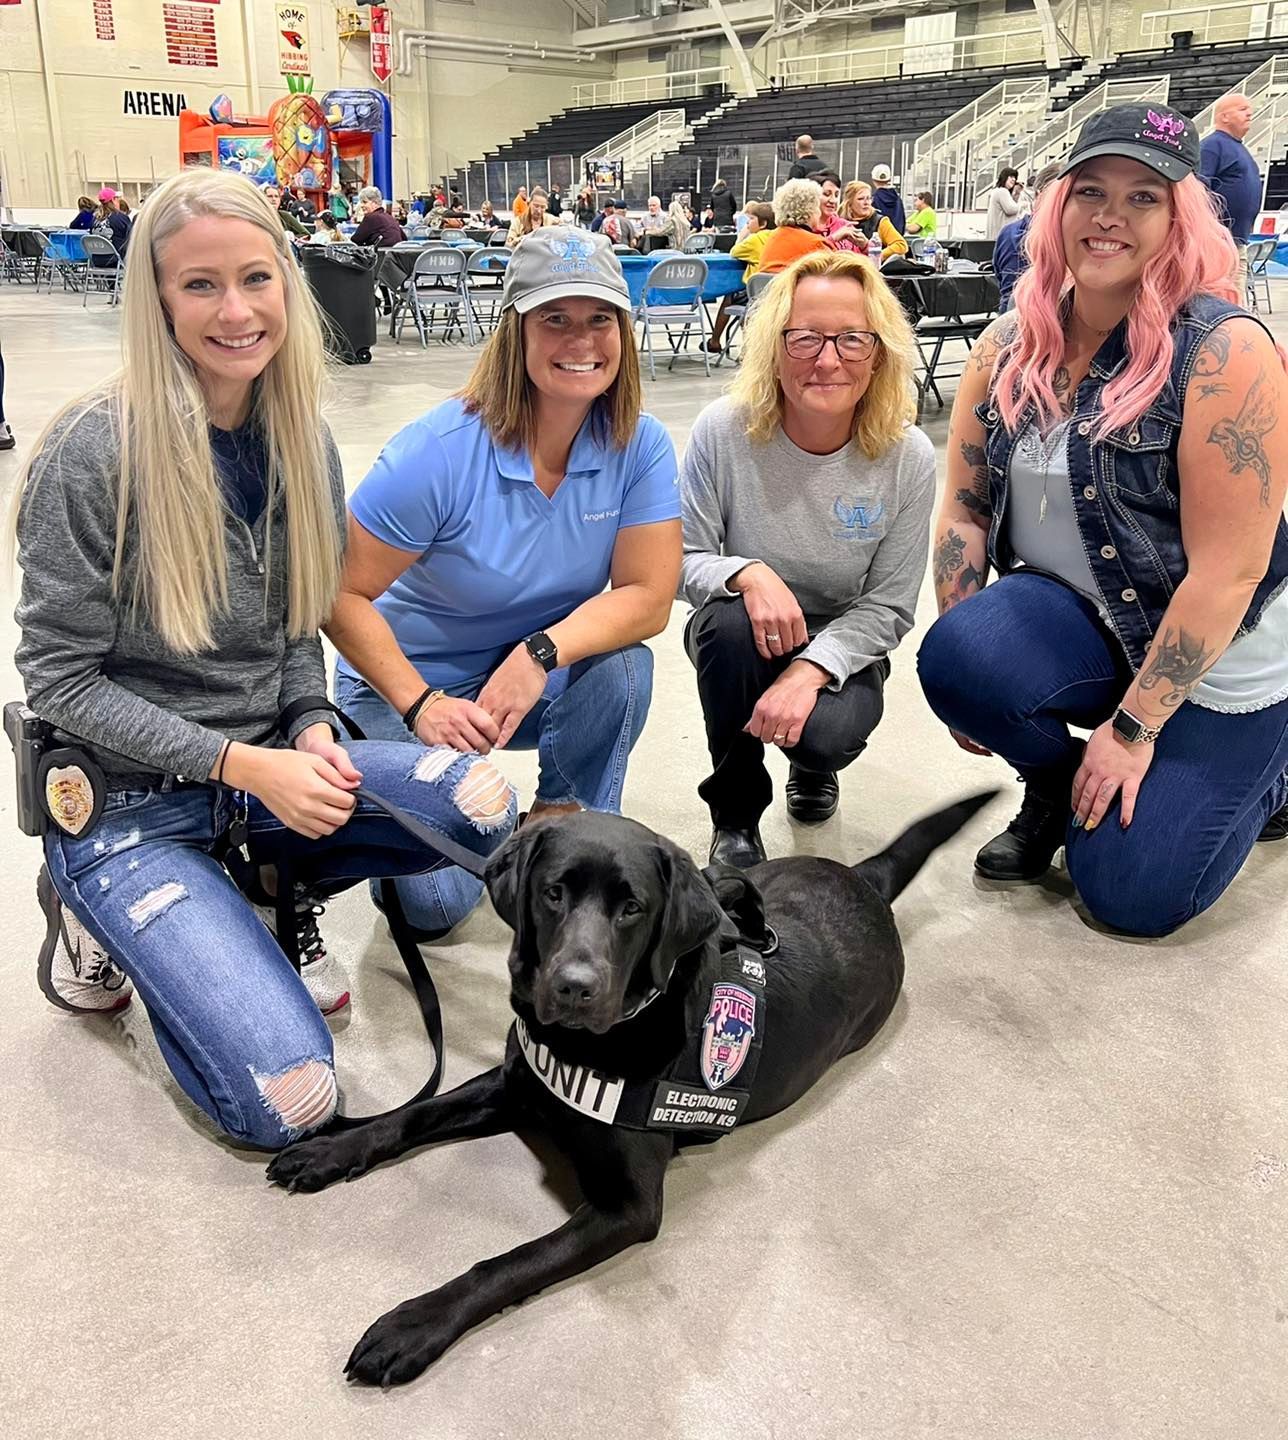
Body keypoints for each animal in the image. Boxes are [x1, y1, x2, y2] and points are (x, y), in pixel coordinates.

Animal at [267, 794, 996, 1388]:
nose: (573, 987)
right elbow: (414, 1114)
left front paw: (413, 1325)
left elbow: (508, 1262)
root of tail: (864, 879)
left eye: (632, 908)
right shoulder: (516, 1083)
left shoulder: (630, 1207)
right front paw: (331, 1151)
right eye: (553, 894)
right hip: (739, 890)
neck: (595, 1043)